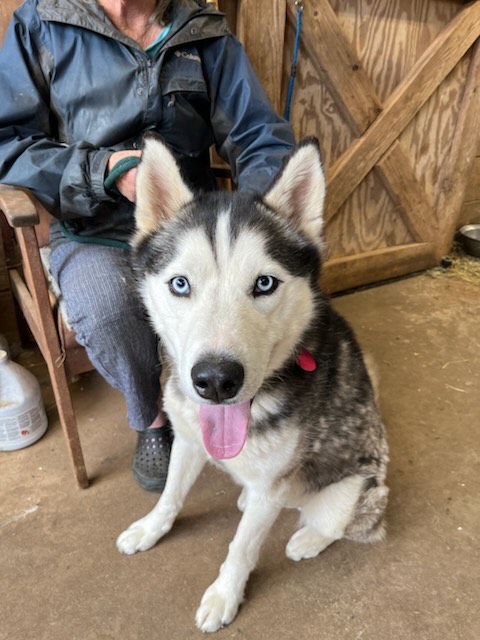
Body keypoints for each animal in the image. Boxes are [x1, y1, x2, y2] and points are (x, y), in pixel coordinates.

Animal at [116, 136, 389, 633]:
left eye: (264, 283)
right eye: (180, 284)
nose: (216, 381)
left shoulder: (271, 488)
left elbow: (241, 549)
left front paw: (225, 596)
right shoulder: (188, 440)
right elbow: (170, 496)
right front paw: (150, 528)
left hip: (349, 494)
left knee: (342, 525)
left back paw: (308, 539)